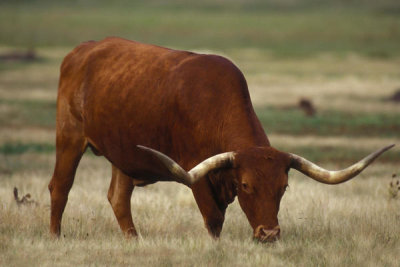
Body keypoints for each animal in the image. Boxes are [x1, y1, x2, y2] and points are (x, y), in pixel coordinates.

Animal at [48, 37, 392, 243]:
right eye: (246, 185)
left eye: (283, 187)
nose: (269, 233)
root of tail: (82, 50)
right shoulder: (196, 173)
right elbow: (213, 219)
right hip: (69, 137)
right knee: (60, 187)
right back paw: (55, 237)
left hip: (121, 152)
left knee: (119, 198)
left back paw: (135, 241)